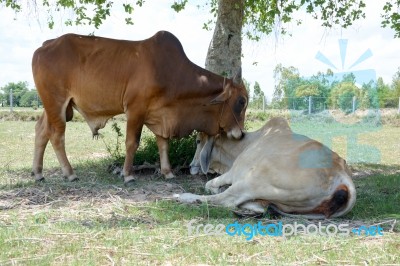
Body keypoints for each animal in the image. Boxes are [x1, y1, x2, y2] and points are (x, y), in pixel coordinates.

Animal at [32, 31, 247, 185]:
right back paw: (69, 173)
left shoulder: (162, 115)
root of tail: (45, 45)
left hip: (54, 106)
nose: (241, 134)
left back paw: (38, 173)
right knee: (56, 135)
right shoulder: (136, 110)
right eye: (242, 102)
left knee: (41, 131)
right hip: (56, 103)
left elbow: (163, 144)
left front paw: (167, 172)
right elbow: (132, 143)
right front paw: (128, 175)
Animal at [175, 116, 356, 218]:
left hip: (255, 178)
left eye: (198, 141)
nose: (191, 166)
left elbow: (209, 184)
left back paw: (183, 196)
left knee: (227, 200)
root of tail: (341, 175)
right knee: (261, 206)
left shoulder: (233, 172)